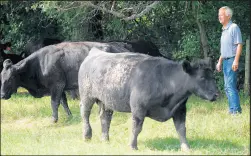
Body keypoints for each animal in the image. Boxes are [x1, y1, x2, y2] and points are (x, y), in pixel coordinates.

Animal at [0, 41, 140, 123]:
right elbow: (63, 102)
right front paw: (69, 116)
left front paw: (54, 120)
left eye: (10, 78)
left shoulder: (57, 85)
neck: (40, 64)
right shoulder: (60, 88)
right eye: (1, 77)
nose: (2, 95)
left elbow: (54, 103)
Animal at [78, 47, 218, 151]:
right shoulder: (138, 108)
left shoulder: (180, 109)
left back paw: (105, 139)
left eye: (213, 76)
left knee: (105, 118)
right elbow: (136, 127)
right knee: (85, 114)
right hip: (86, 96)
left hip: (106, 101)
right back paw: (87, 136)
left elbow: (181, 129)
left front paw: (186, 148)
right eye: (202, 77)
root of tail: (95, 52)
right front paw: (133, 146)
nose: (217, 94)